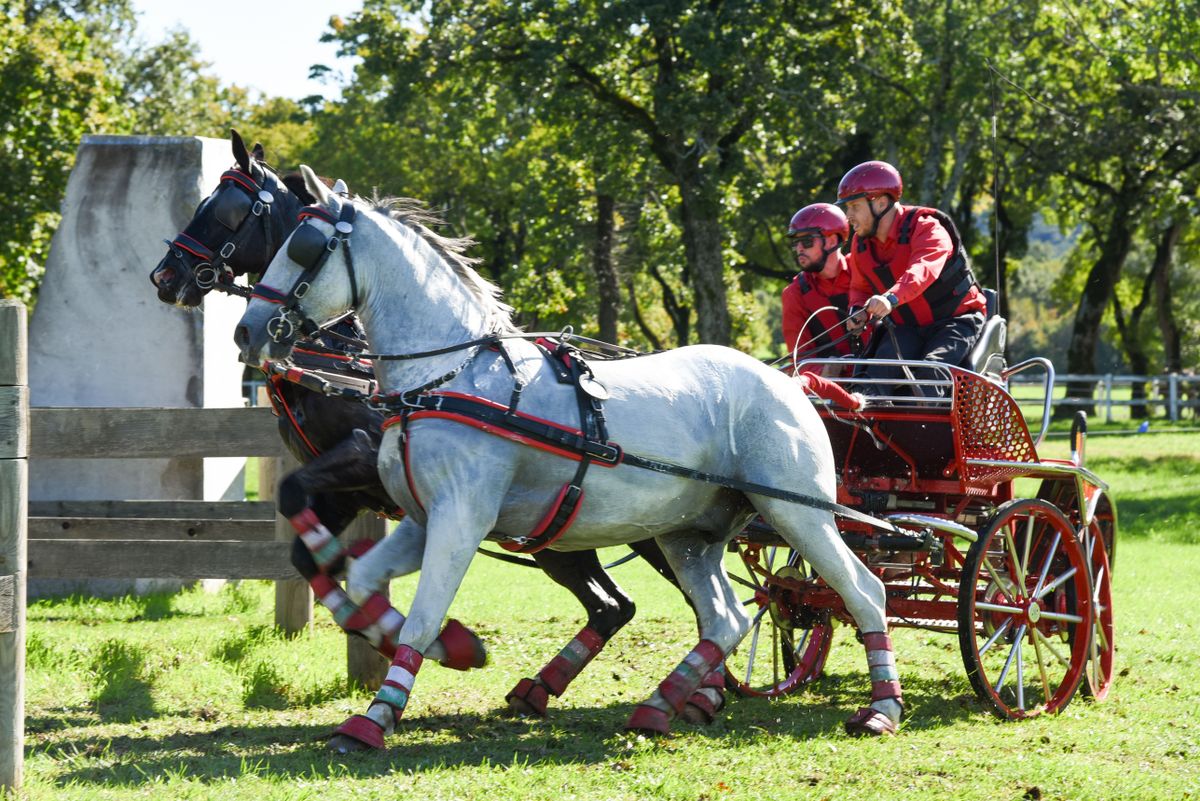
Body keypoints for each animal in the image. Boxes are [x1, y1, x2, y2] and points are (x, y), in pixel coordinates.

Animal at [231, 165, 902, 748]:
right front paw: (457, 647)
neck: (446, 376)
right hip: (688, 534)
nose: (246, 331)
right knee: (726, 618)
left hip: (798, 513)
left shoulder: (460, 519)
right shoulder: (422, 519)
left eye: (303, 247)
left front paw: (374, 719)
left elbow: (420, 614)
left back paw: (881, 709)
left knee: (863, 591)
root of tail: (791, 382)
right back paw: (660, 705)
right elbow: (369, 583)